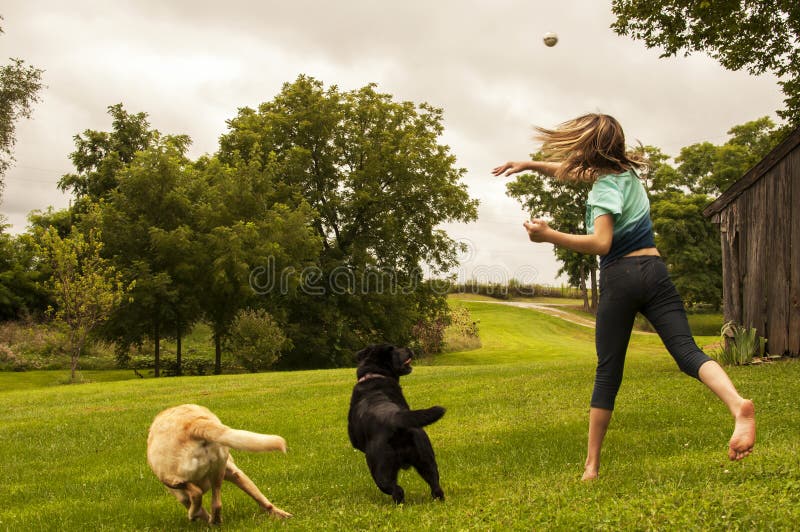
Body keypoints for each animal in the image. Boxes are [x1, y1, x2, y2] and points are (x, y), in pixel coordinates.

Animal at [346, 344, 444, 502]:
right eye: (395, 349)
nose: (409, 348)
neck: (374, 375)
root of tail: (395, 418)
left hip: (379, 468)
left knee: (395, 489)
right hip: (427, 459)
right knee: (435, 484)